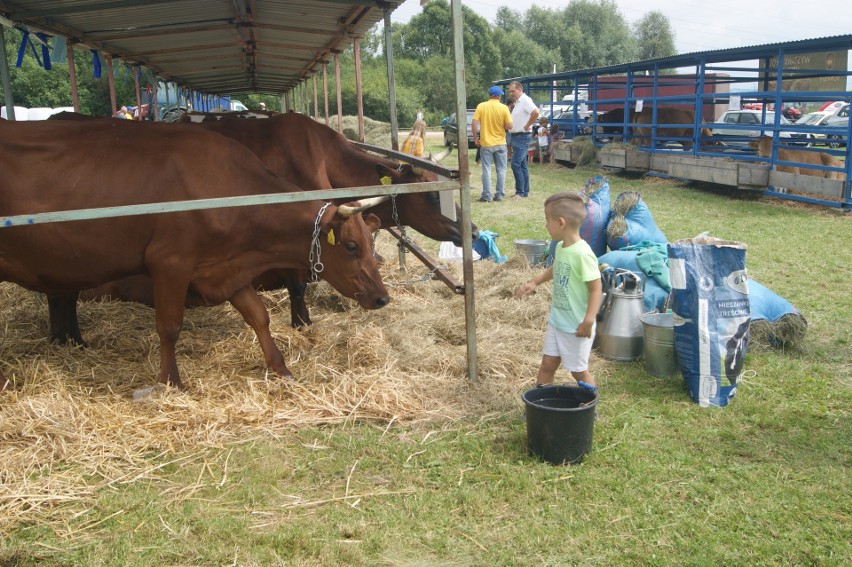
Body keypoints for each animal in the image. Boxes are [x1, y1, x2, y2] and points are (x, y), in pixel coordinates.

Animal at [0, 117, 390, 388]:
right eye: (351, 246)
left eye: (371, 241)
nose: (382, 298)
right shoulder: (170, 263)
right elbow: (169, 326)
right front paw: (171, 382)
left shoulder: (224, 267)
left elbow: (259, 316)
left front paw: (281, 368)